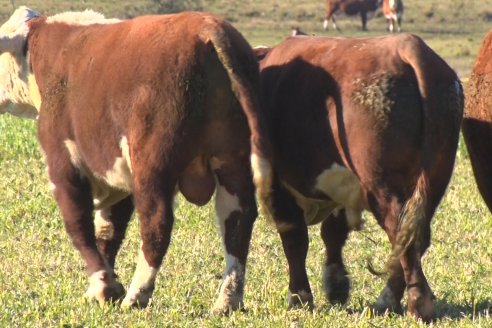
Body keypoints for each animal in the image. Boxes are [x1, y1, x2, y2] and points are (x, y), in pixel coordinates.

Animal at [0, 6, 272, 312]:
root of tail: (207, 27)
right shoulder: (117, 178)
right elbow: (108, 230)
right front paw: (99, 287)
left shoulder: (64, 165)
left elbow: (79, 225)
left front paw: (105, 286)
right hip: (233, 163)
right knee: (238, 223)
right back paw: (227, 301)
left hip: (153, 165)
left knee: (156, 224)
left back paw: (137, 293)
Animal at [256, 34, 464, 322]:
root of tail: (407, 45)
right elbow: (332, 233)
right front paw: (336, 285)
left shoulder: (279, 187)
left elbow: (295, 240)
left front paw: (299, 297)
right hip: (433, 182)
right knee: (415, 235)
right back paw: (389, 300)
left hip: (383, 187)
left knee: (402, 235)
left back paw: (416, 304)